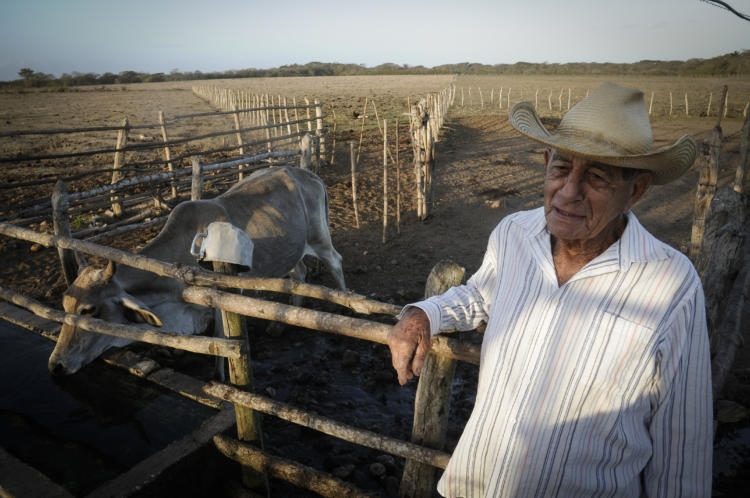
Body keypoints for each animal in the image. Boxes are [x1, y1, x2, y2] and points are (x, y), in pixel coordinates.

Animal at [48, 165, 348, 376]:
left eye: (90, 310)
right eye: (64, 306)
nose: (56, 364)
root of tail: (307, 174)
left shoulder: (221, 304)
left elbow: (221, 348)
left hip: (320, 239)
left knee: (335, 261)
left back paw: (346, 310)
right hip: (293, 247)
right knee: (299, 274)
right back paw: (278, 326)